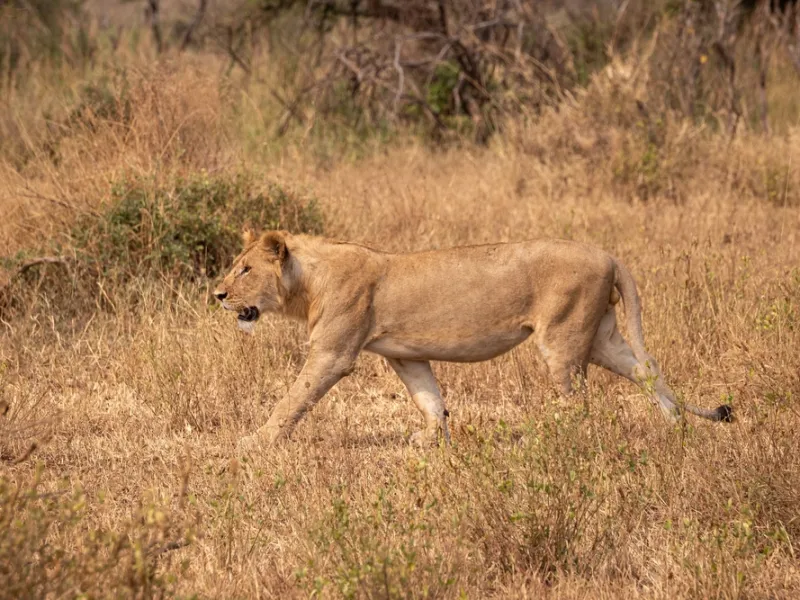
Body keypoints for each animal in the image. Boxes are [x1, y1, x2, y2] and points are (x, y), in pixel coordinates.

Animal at [214, 230, 733, 450]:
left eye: (245, 269)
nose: (216, 294)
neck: (307, 281)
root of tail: (608, 254)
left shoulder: (333, 353)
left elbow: (293, 398)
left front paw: (256, 441)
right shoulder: (405, 356)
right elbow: (429, 398)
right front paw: (428, 440)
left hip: (562, 337)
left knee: (577, 400)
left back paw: (548, 438)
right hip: (603, 336)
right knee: (648, 370)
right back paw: (675, 427)